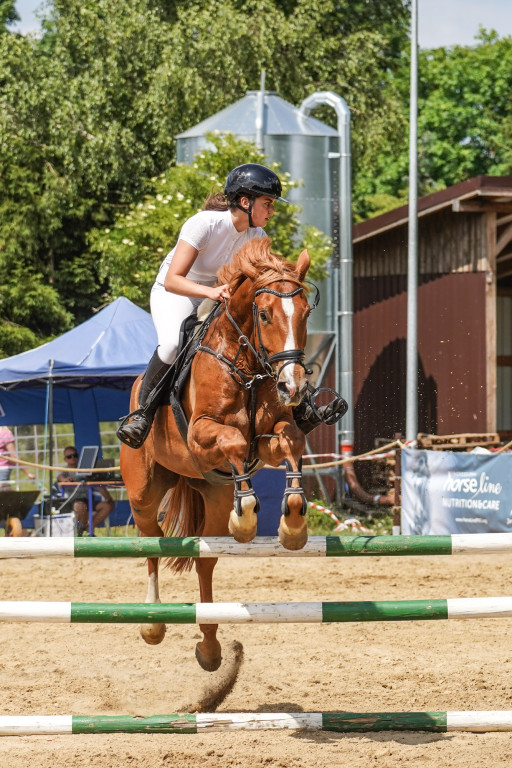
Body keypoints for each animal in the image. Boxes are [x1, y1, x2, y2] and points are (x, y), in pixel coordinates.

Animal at [122, 237, 314, 668]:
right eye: (264, 314)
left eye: (306, 313)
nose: (293, 388)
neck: (246, 364)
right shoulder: (200, 436)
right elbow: (234, 441)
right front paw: (248, 515)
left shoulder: (270, 437)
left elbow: (290, 442)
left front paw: (293, 523)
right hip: (144, 491)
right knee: (151, 541)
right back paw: (152, 624)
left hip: (211, 496)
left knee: (205, 559)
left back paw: (210, 647)